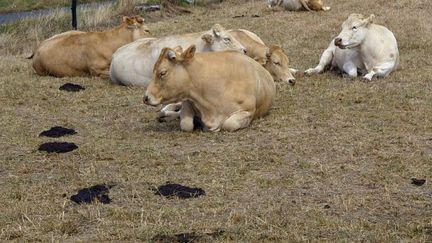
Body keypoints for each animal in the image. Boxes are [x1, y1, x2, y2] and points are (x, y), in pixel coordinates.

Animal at [143, 45, 276, 133]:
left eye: (162, 73)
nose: (145, 97)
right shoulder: (188, 100)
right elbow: (186, 124)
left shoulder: (247, 111)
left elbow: (229, 124)